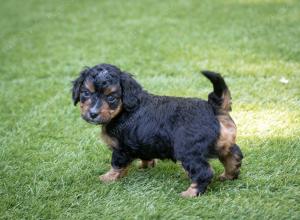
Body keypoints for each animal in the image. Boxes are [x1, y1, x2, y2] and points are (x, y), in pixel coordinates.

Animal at [72, 62, 244, 197]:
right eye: (85, 93)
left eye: (111, 97)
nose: (93, 114)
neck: (125, 110)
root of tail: (214, 107)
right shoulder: (142, 143)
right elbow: (145, 155)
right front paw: (145, 166)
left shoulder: (121, 148)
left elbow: (116, 164)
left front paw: (108, 178)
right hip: (224, 143)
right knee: (234, 156)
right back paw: (228, 175)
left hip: (188, 150)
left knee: (203, 172)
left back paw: (190, 193)